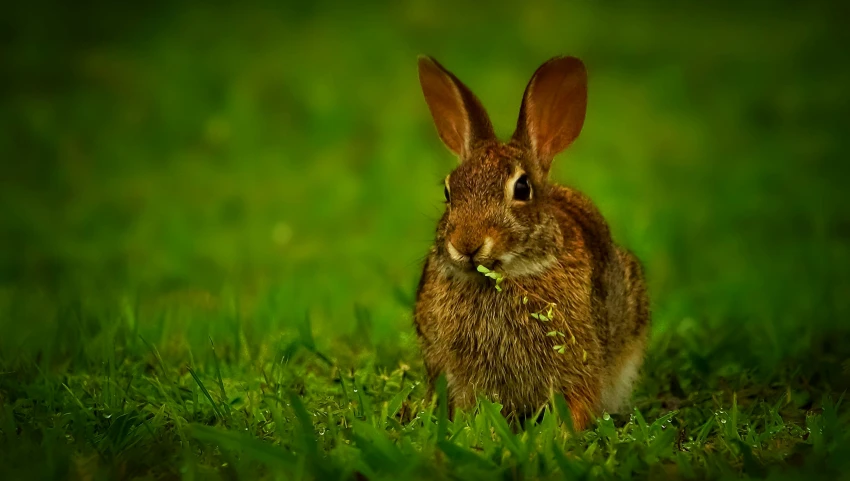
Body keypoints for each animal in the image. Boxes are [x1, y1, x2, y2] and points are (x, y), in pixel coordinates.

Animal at [412, 54, 648, 430]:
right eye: (448, 192)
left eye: (522, 189)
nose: (466, 245)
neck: (502, 276)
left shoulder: (578, 367)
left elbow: (578, 403)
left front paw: (565, 435)